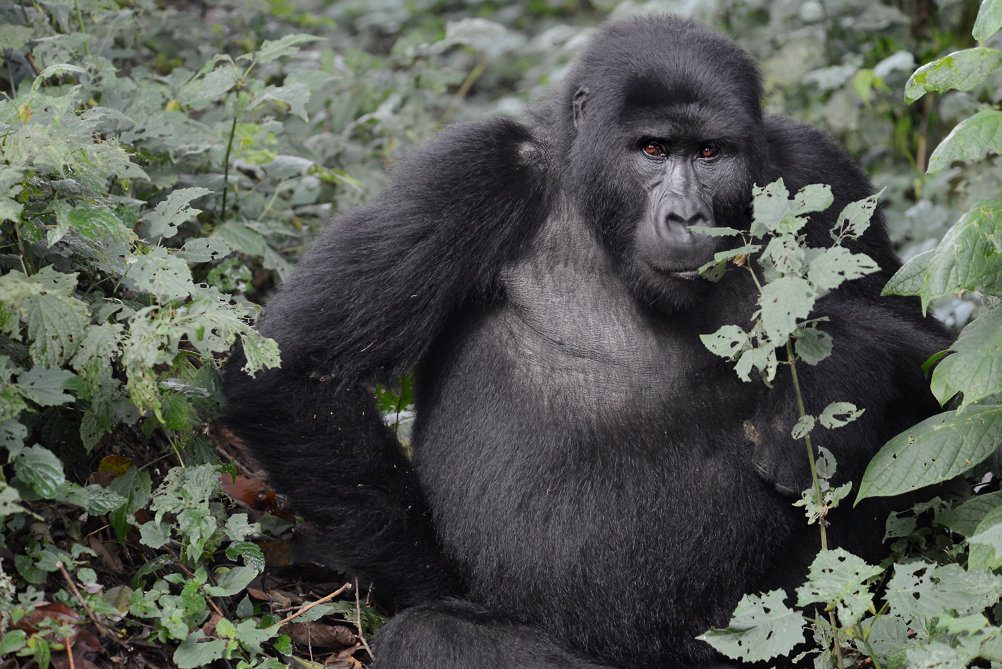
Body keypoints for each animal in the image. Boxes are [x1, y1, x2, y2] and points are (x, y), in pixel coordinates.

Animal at [223, 14, 949, 669]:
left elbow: (935, 364)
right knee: (430, 638)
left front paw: (836, 377)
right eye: (652, 150)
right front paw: (440, 584)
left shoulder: (818, 169)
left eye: (709, 154)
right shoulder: (472, 171)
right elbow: (298, 369)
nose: (686, 217)